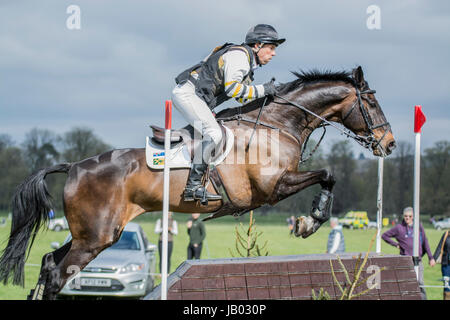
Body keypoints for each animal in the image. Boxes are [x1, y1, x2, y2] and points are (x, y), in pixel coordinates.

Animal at [0, 65, 394, 300]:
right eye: (372, 102)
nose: (389, 143)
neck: (277, 124)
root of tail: (74, 166)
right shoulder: (273, 189)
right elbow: (328, 174)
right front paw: (308, 222)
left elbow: (328, 176)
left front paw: (307, 221)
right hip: (96, 235)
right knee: (58, 273)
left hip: (90, 233)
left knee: (50, 263)